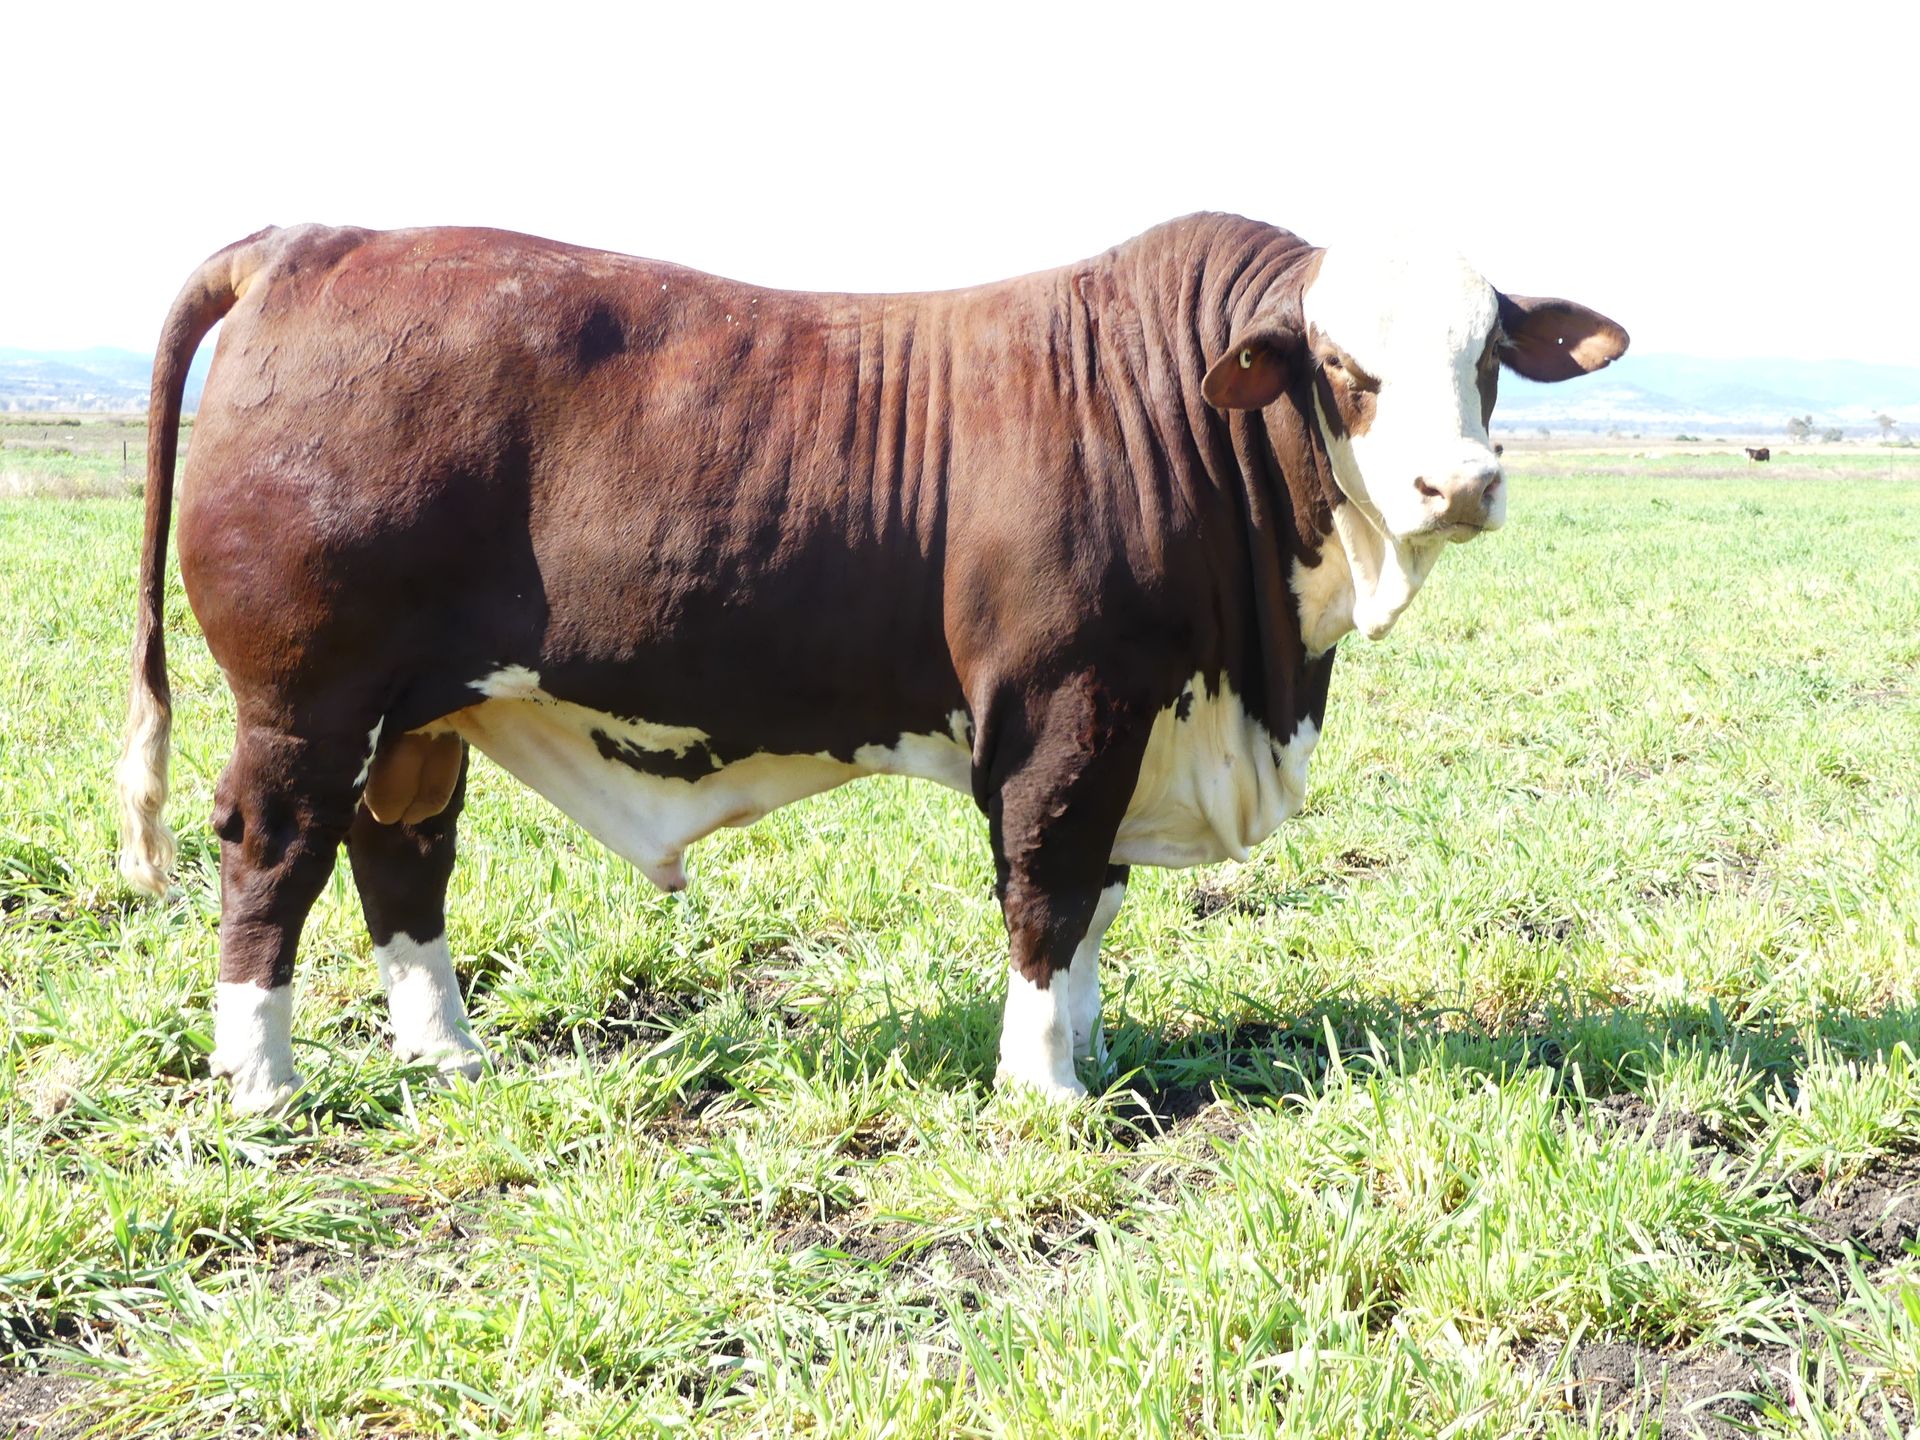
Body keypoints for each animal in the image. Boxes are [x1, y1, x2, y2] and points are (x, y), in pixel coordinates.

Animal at [116, 214, 1627, 1111]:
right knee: (276, 853)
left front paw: (1090, 1053)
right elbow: (1048, 885)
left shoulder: (1136, 716)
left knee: (402, 855)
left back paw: (449, 1053)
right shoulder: (1064, 708)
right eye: (1341, 364)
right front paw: (1045, 1088)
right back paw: (261, 1083)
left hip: (421, 711)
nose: (1458, 484)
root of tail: (319, 240)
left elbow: (1095, 900)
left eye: (1490, 354)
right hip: (306, 700)